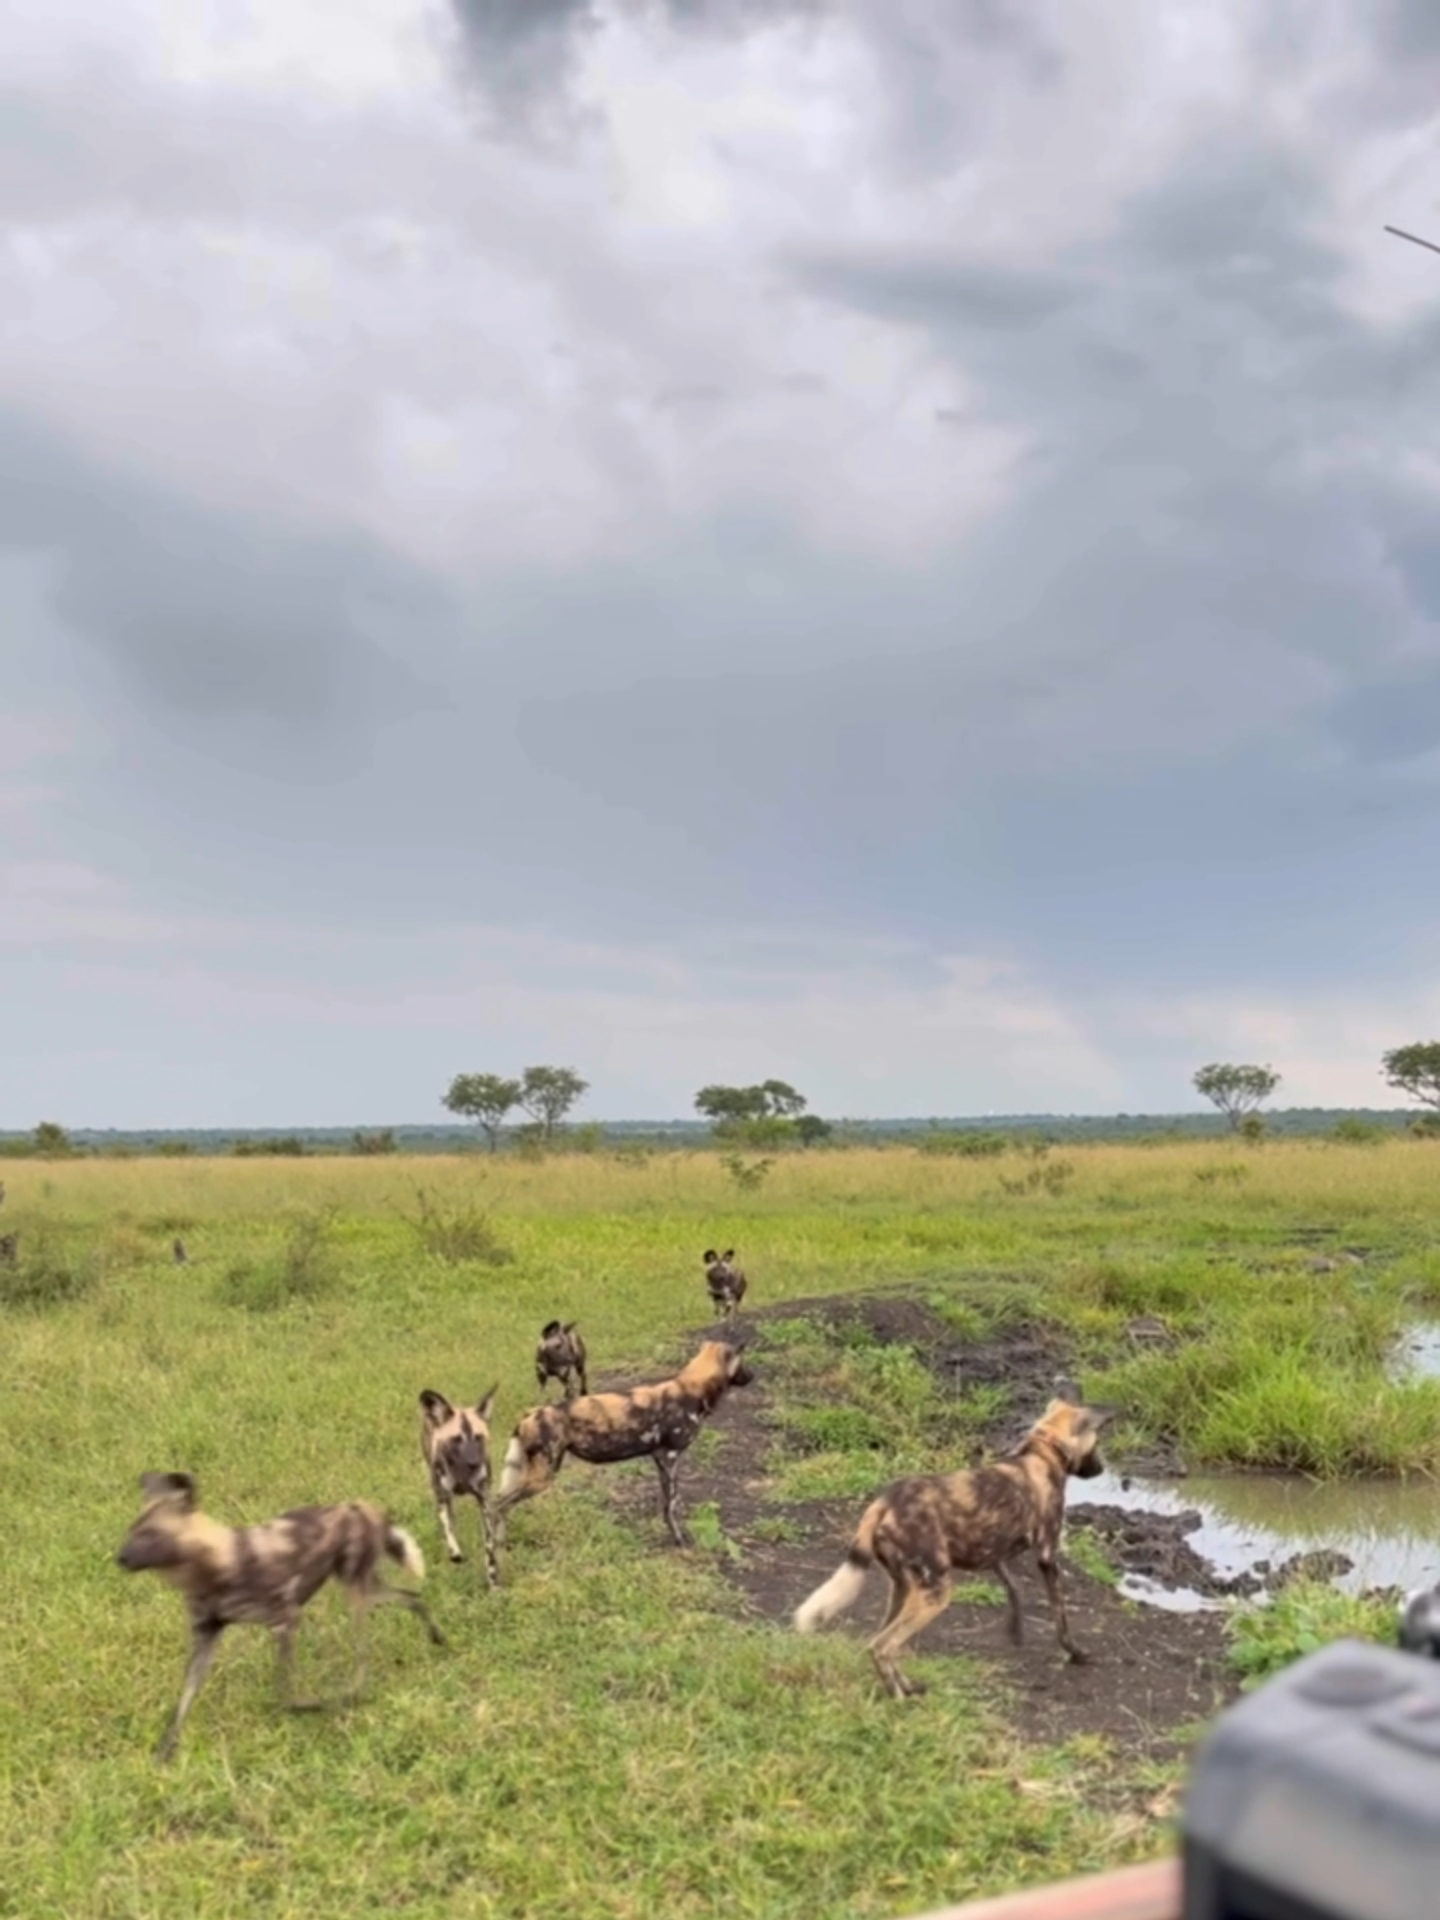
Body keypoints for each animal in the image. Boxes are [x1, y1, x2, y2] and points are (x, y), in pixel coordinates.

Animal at [117, 1474, 445, 1758]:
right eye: (132, 1532)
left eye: (149, 1534)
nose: (118, 1557)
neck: (211, 1565)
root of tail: (359, 1505)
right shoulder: (206, 1638)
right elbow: (183, 1703)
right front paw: (165, 1751)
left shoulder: (285, 1621)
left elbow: (285, 1693)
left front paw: (307, 1708)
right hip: (367, 1588)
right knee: (413, 1598)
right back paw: (436, 1638)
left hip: (356, 1594)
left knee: (363, 1650)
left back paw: (353, 1694)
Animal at [416, 1390, 503, 1582]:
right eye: (456, 1439)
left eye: (478, 1437)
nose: (474, 1462)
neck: (462, 1473)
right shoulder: (441, 1499)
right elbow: (448, 1530)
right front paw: (455, 1553)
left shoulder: (484, 1503)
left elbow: (489, 1547)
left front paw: (493, 1581)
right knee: (451, 1522)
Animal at [499, 1344, 756, 1551]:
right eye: (743, 1361)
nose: (753, 1375)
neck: (691, 1388)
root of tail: (530, 1414)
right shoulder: (671, 1458)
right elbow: (672, 1505)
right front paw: (680, 1540)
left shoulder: (660, 1459)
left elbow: (665, 1505)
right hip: (543, 1477)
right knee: (498, 1505)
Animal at [794, 1397, 1121, 1697]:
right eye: (1098, 1443)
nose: (1100, 1468)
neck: (1043, 1452)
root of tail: (885, 1502)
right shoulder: (1047, 1556)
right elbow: (1060, 1616)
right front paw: (1076, 1653)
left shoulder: (995, 1554)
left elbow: (1014, 1589)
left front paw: (1015, 1632)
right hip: (935, 1593)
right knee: (882, 1645)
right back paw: (898, 1697)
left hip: (904, 1588)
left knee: (878, 1640)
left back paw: (907, 1687)